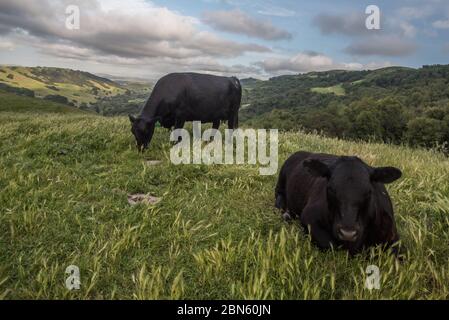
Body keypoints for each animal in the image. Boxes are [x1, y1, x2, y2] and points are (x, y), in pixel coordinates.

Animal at [272, 151, 402, 254]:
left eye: (369, 192)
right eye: (330, 189)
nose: (348, 233)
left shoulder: (393, 235)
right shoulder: (308, 217)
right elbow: (332, 245)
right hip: (280, 184)